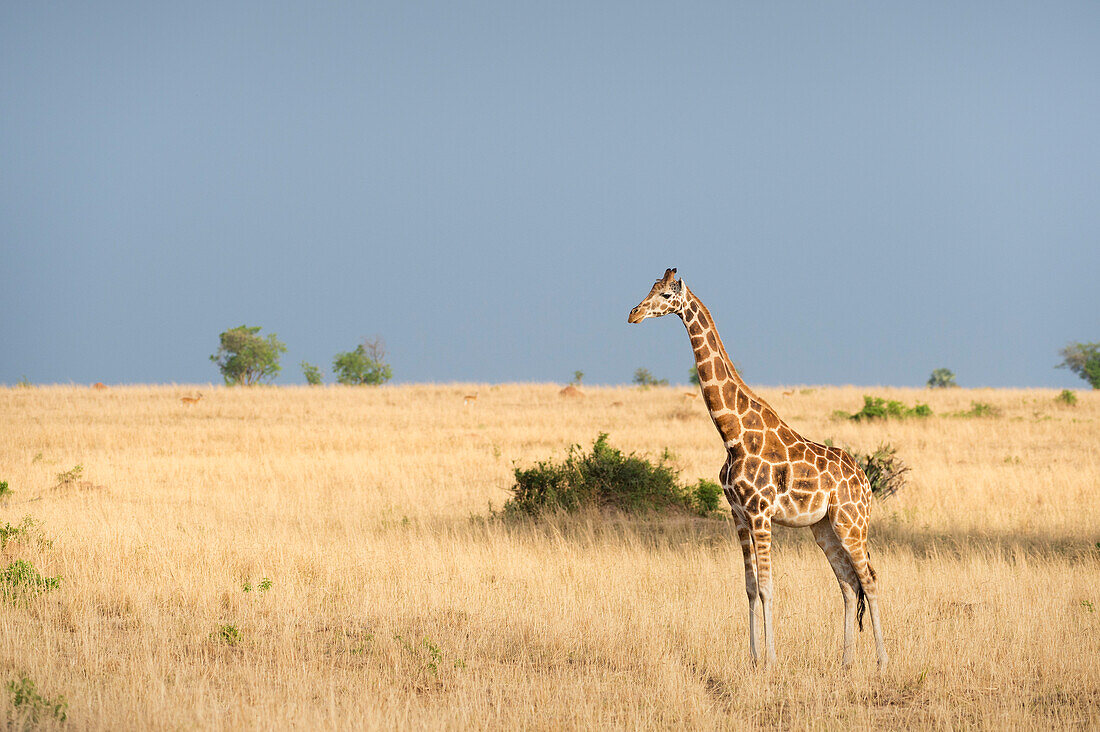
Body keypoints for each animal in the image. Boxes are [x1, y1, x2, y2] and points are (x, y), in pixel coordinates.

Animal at [629, 269, 884, 669]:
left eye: (668, 294)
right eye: (651, 288)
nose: (634, 314)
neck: (731, 433)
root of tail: (866, 482)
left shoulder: (761, 513)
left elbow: (767, 588)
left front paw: (771, 661)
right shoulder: (738, 514)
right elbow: (749, 587)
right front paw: (753, 658)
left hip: (852, 523)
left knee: (869, 580)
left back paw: (882, 662)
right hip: (824, 528)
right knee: (847, 583)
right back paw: (846, 662)